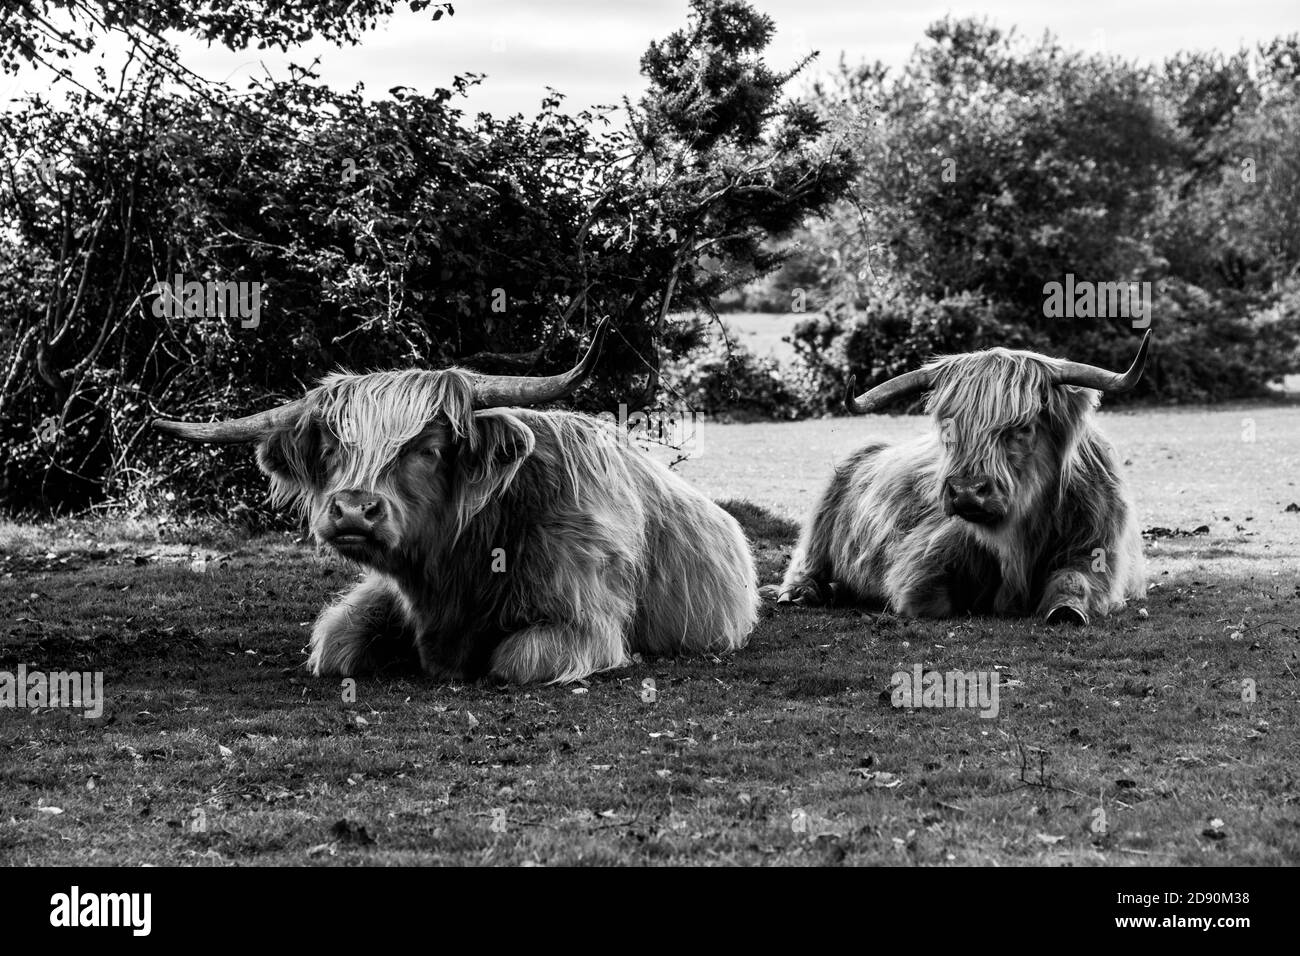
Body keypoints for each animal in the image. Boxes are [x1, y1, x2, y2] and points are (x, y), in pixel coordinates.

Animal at [156, 325, 759, 686]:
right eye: (330, 448)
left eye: (428, 449)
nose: (352, 511)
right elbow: (337, 644)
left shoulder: (584, 625)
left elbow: (516, 661)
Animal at [769, 332, 1149, 624]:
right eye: (948, 426)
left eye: (1023, 427)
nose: (967, 491)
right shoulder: (924, 564)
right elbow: (929, 599)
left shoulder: (1095, 550)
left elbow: (1073, 586)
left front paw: (1065, 610)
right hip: (818, 532)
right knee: (807, 562)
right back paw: (802, 593)